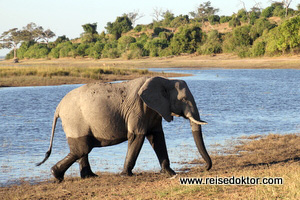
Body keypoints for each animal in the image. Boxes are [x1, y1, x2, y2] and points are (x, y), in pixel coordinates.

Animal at [36, 76, 212, 181]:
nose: (205, 169)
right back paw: (57, 175)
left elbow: (157, 137)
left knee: (82, 148)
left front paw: (170, 173)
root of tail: (58, 108)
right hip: (75, 120)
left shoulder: (154, 110)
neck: (165, 80)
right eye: (184, 100)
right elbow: (137, 136)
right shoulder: (139, 108)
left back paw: (90, 177)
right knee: (82, 148)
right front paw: (126, 175)